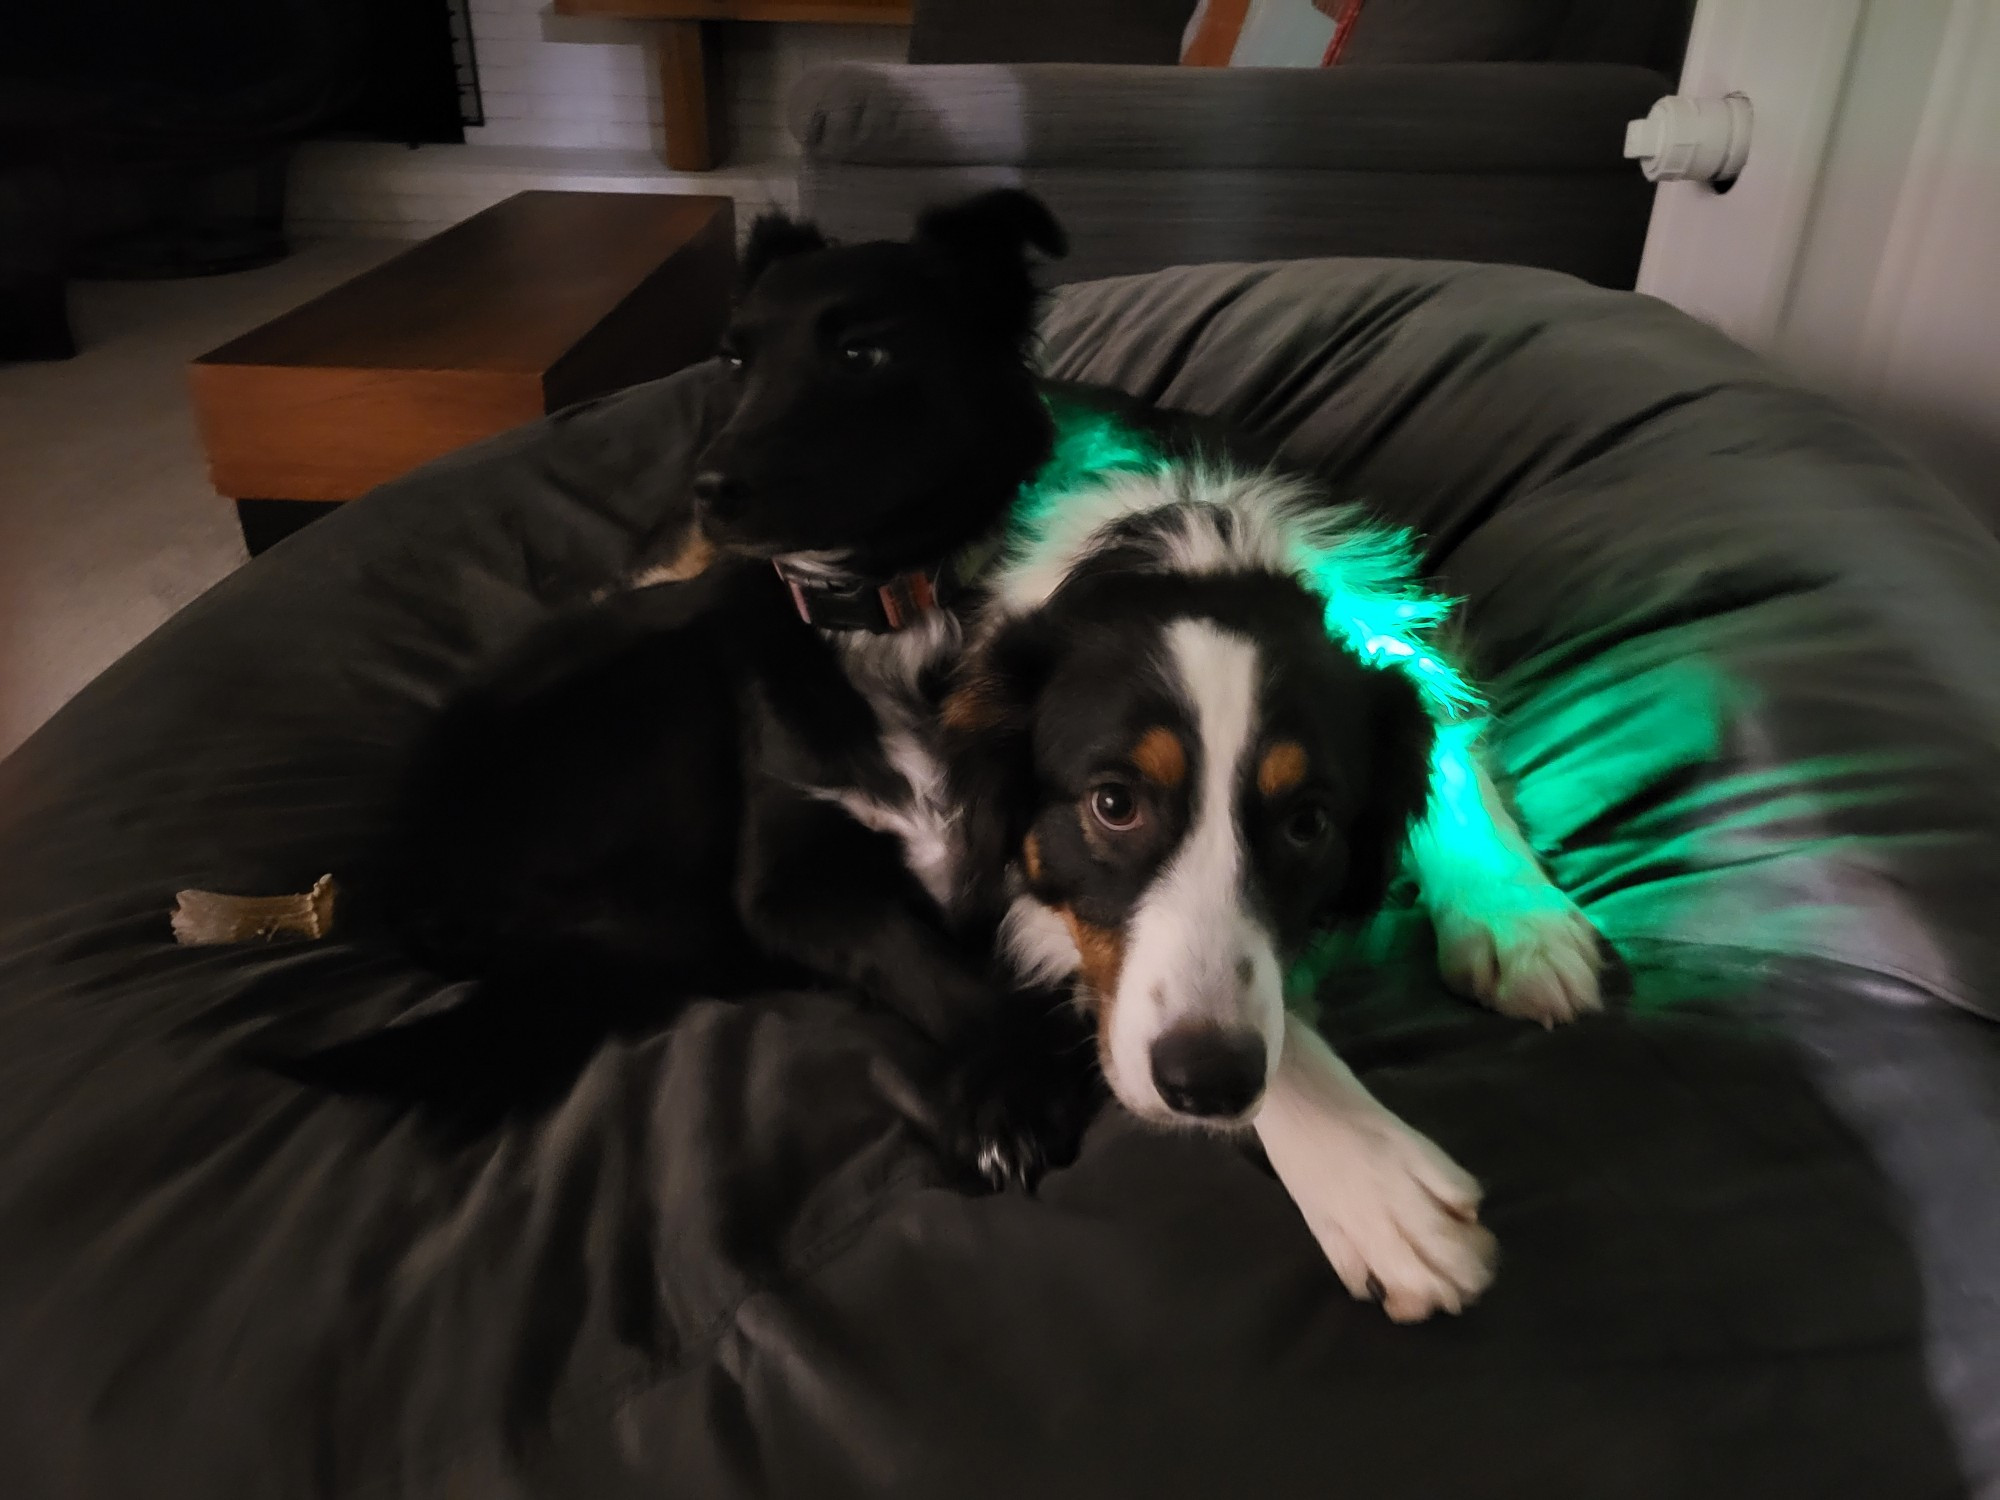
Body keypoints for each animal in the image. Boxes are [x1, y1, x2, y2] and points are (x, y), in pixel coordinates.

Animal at [330, 197, 1112, 1184]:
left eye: (864, 352)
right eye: (737, 359)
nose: (709, 491)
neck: (885, 616)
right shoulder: (789, 884)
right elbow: (924, 960)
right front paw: (1014, 1082)